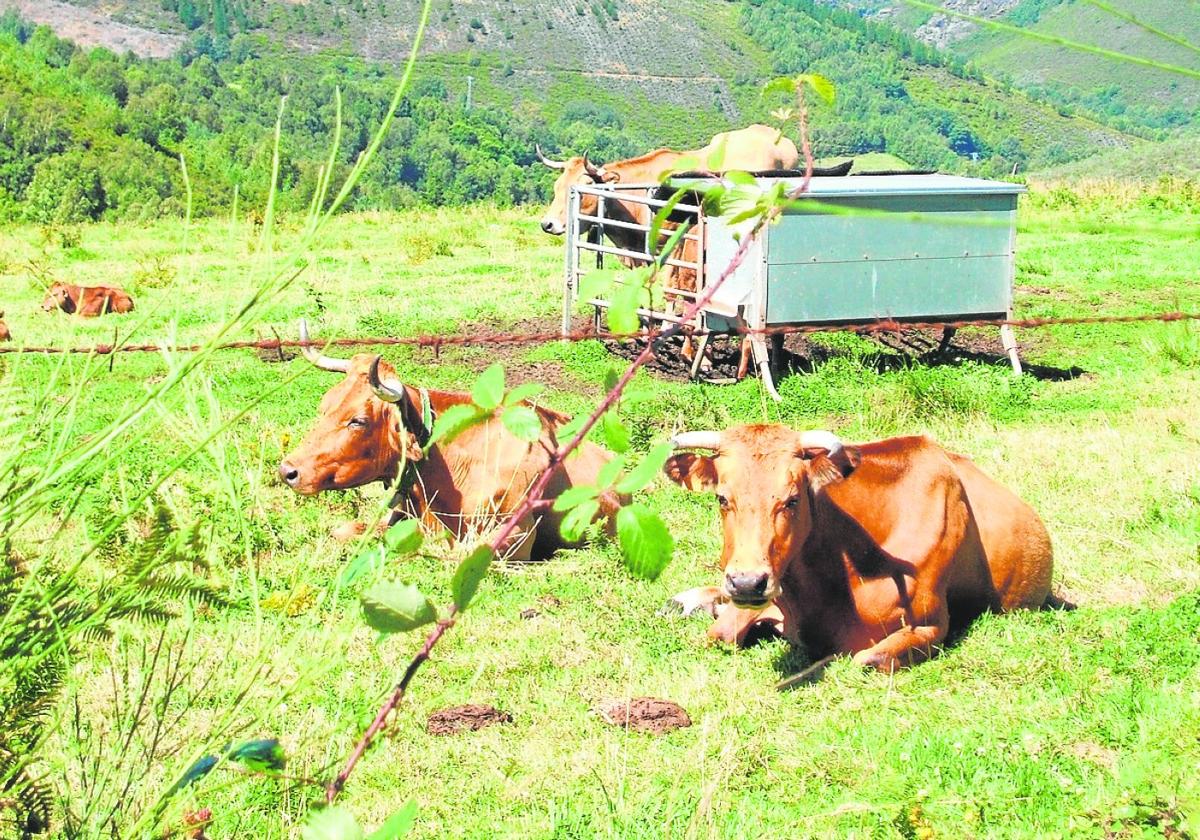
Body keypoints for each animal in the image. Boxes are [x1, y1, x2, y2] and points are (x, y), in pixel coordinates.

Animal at [662, 427, 1056, 667]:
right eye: (722, 498)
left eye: (792, 500)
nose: (747, 582)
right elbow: (720, 634)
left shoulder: (929, 626)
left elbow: (866, 659)